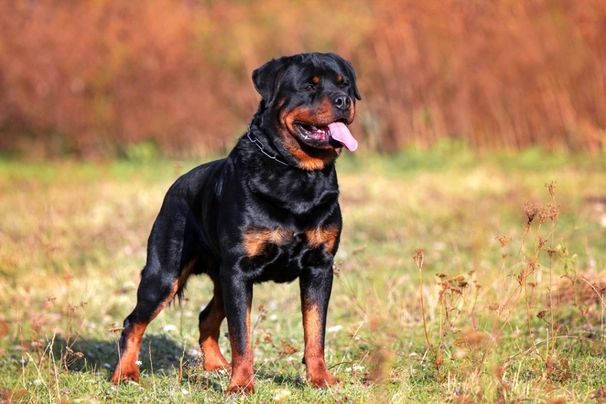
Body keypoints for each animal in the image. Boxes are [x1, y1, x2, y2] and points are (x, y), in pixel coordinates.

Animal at [111, 52, 360, 392]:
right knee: (133, 321)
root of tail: (175, 186)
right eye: (310, 86)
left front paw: (320, 377)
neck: (296, 174)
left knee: (206, 316)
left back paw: (216, 366)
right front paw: (241, 385)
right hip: (164, 275)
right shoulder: (239, 271)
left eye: (344, 84)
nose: (343, 100)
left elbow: (315, 330)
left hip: (220, 276)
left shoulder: (319, 267)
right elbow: (241, 336)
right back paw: (124, 373)